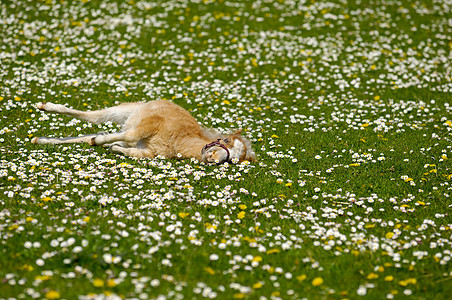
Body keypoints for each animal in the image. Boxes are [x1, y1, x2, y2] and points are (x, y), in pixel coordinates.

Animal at [32, 100, 256, 164]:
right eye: (224, 140)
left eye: (232, 161)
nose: (212, 158)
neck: (177, 141)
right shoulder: (151, 124)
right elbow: (130, 136)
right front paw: (102, 141)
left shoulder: (148, 152)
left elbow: (131, 150)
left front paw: (112, 147)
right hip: (127, 111)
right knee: (93, 117)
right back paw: (44, 107)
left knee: (84, 136)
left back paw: (40, 140)